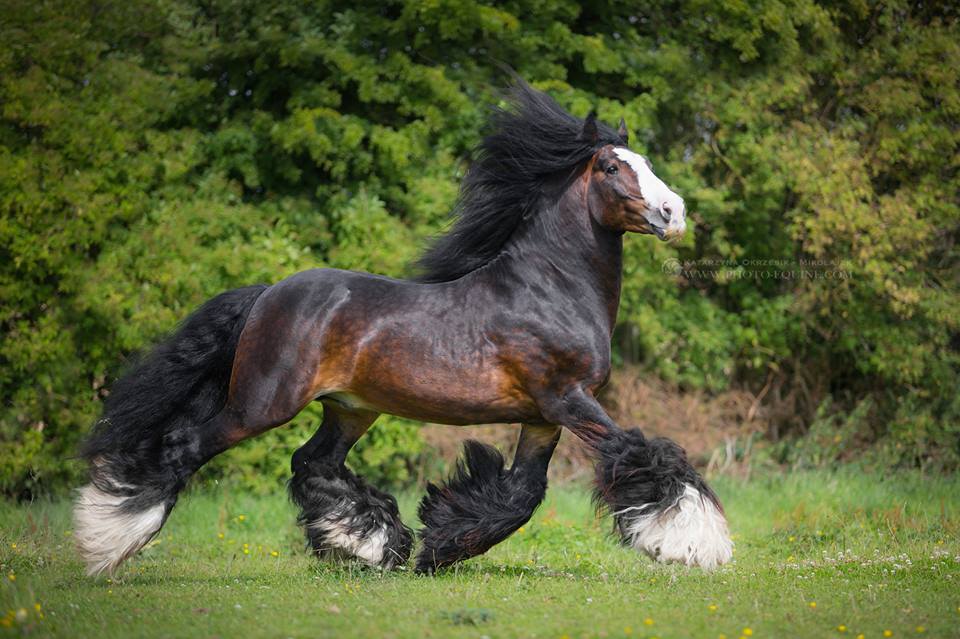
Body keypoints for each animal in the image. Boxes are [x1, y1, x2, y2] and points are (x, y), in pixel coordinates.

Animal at [77, 79, 736, 576]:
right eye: (610, 166)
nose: (674, 213)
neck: (548, 289)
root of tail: (267, 295)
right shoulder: (568, 399)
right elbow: (644, 454)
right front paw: (696, 543)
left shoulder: (542, 417)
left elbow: (520, 496)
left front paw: (438, 547)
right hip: (260, 405)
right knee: (187, 446)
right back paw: (106, 543)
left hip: (350, 408)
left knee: (312, 463)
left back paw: (371, 546)